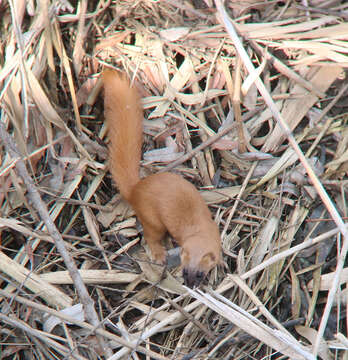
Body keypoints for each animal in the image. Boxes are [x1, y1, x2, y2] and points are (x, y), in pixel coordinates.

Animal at [102, 69, 220, 286]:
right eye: (185, 270)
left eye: (200, 273)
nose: (190, 284)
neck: (199, 227)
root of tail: (136, 189)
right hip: (152, 218)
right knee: (149, 235)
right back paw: (159, 254)